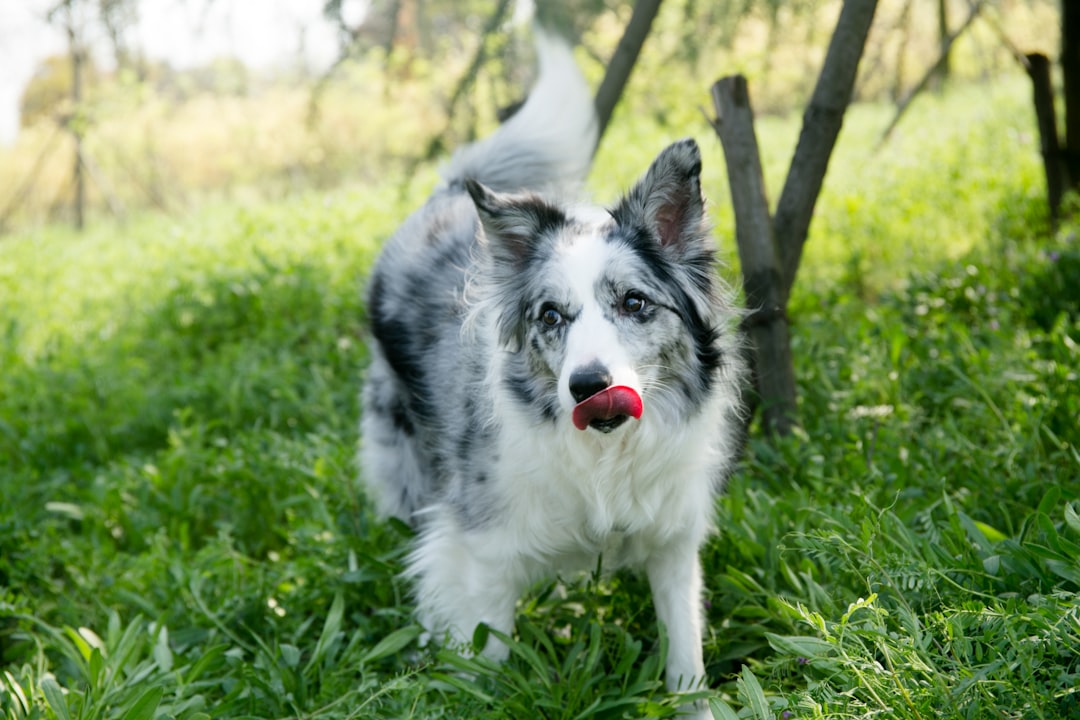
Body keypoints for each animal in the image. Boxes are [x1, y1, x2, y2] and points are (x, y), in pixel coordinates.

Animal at [358, 26, 747, 708]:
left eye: (634, 303)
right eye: (551, 316)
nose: (588, 386)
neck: (606, 458)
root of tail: (448, 192)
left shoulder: (674, 541)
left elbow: (685, 653)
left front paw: (692, 704)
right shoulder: (482, 550)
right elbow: (485, 652)